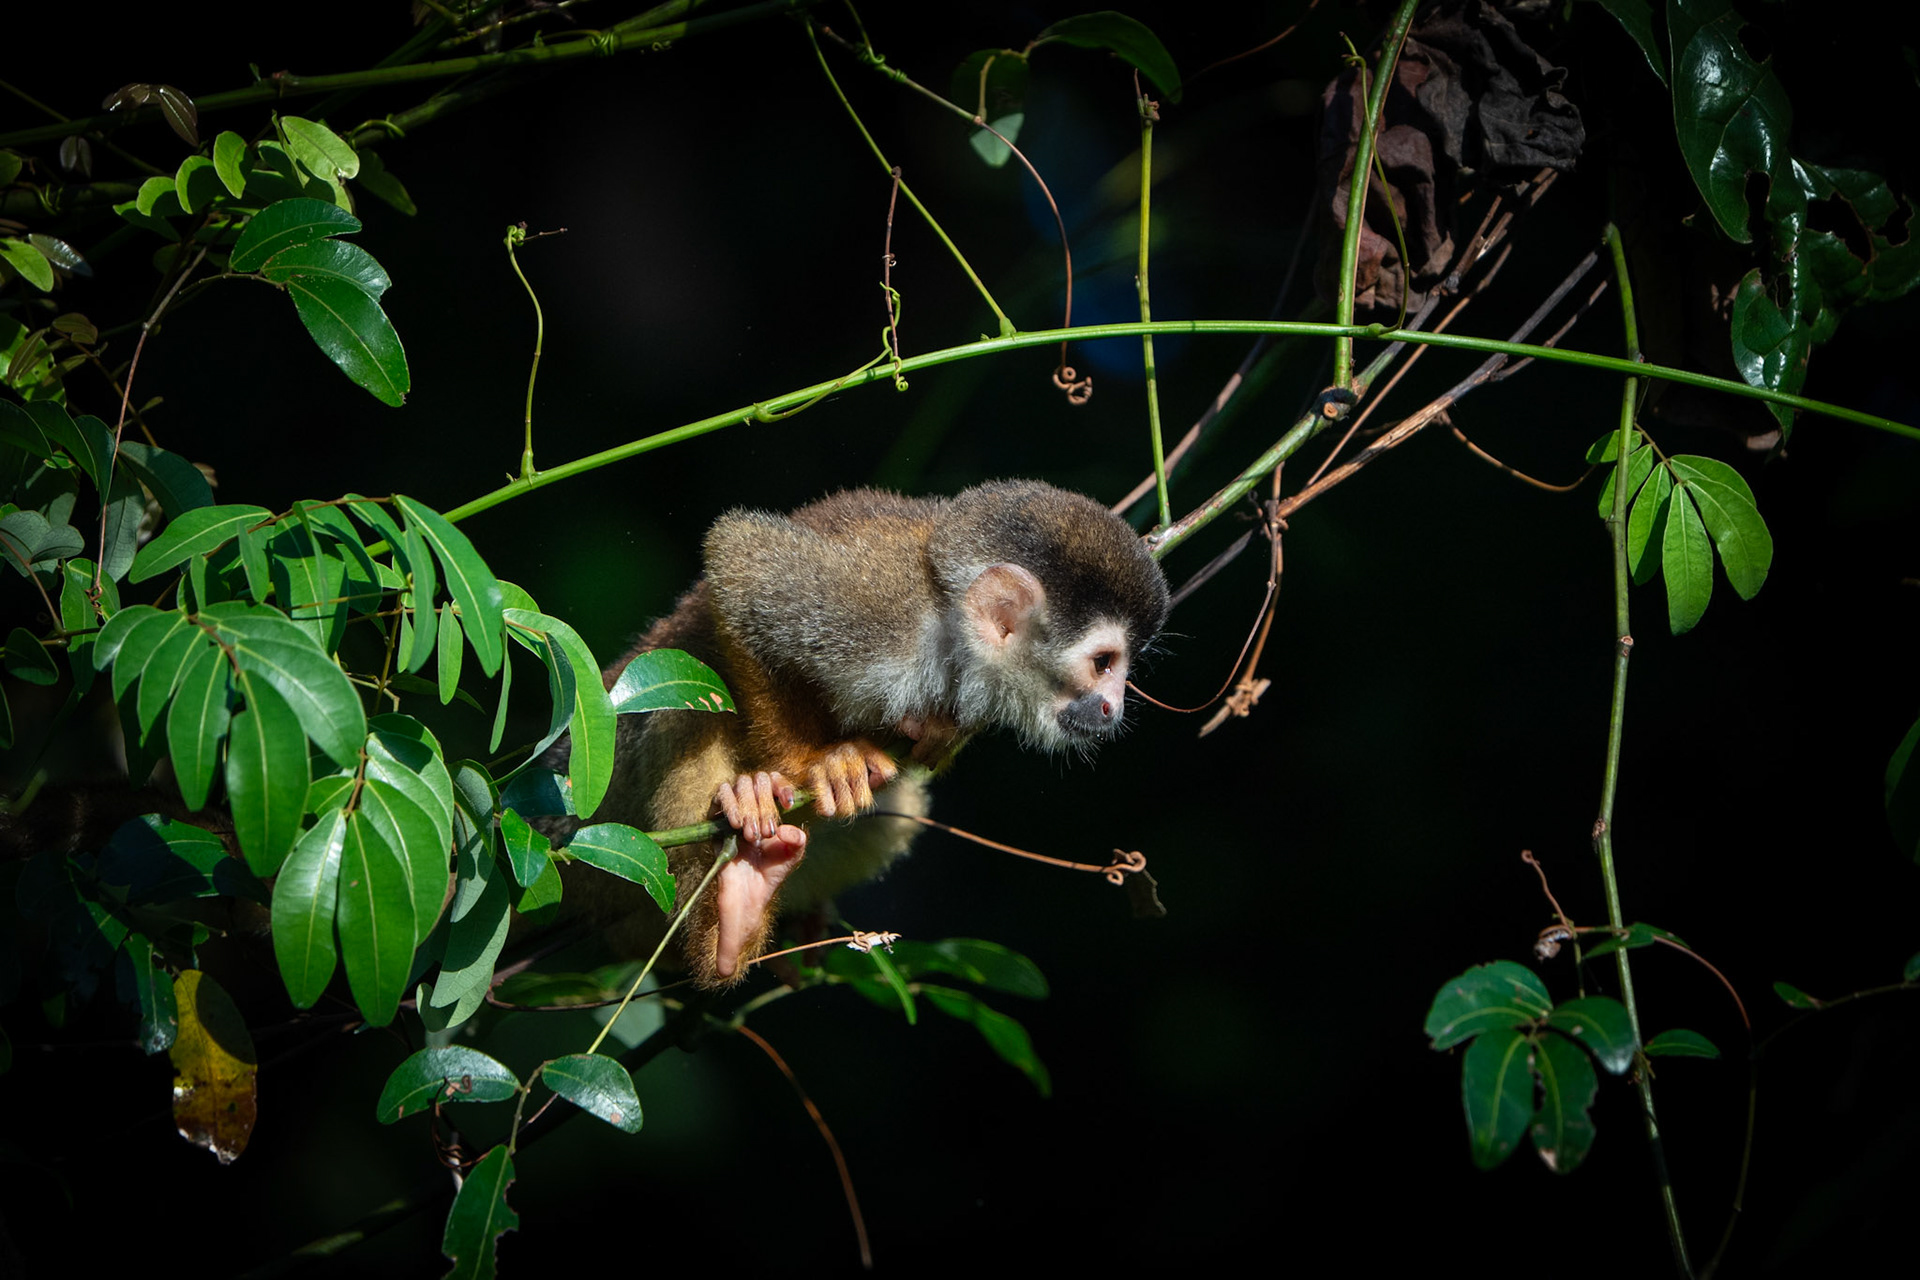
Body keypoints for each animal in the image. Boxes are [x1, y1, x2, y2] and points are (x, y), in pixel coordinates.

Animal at [560, 479, 1171, 988]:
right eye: (1103, 663)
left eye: (1121, 668)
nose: (1114, 708)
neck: (947, 630)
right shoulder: (873, 610)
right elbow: (738, 561)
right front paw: (813, 764)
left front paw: (935, 733)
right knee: (692, 707)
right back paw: (725, 929)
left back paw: (748, 914)